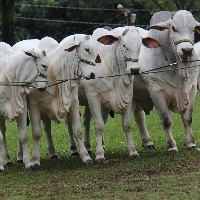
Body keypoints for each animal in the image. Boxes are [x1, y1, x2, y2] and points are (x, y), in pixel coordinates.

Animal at [133, 10, 200, 152]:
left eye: (193, 29)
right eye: (173, 28)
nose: (187, 50)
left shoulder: (192, 89)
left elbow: (188, 119)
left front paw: (190, 144)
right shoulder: (156, 92)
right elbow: (166, 121)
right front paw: (172, 146)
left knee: (139, 116)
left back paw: (147, 142)